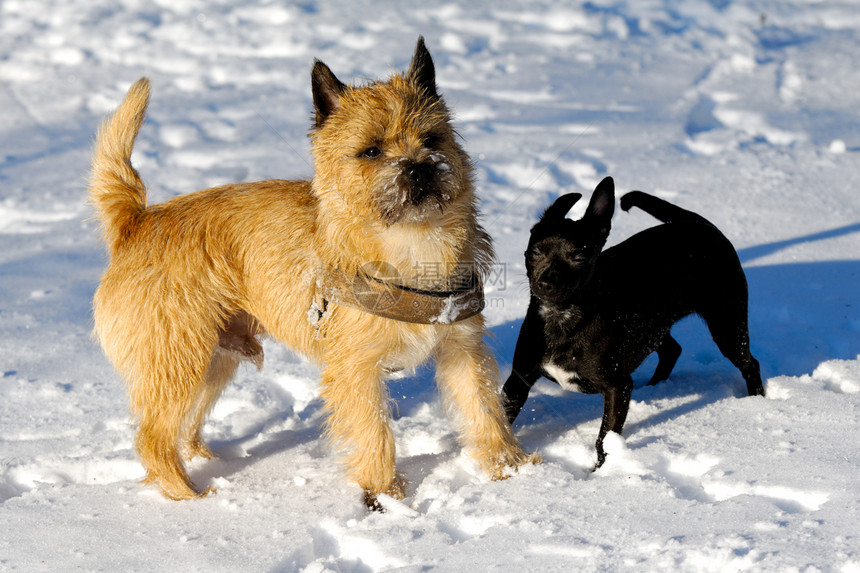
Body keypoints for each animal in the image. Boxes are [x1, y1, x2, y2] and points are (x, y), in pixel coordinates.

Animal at [87, 38, 532, 504]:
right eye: (371, 150)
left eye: (431, 138)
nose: (419, 167)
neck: (413, 244)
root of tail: (136, 222)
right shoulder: (356, 370)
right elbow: (374, 431)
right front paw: (384, 494)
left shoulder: (461, 349)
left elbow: (484, 409)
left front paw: (511, 470)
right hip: (178, 358)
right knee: (152, 437)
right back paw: (191, 495)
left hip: (213, 360)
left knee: (181, 427)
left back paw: (208, 463)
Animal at [504, 177, 764, 466]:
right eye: (535, 252)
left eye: (579, 257)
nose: (546, 283)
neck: (563, 318)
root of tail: (698, 223)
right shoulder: (519, 378)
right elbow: (499, 418)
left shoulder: (617, 386)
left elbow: (604, 437)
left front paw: (601, 471)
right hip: (655, 325)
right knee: (672, 350)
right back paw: (654, 388)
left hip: (727, 325)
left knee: (749, 363)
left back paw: (757, 400)